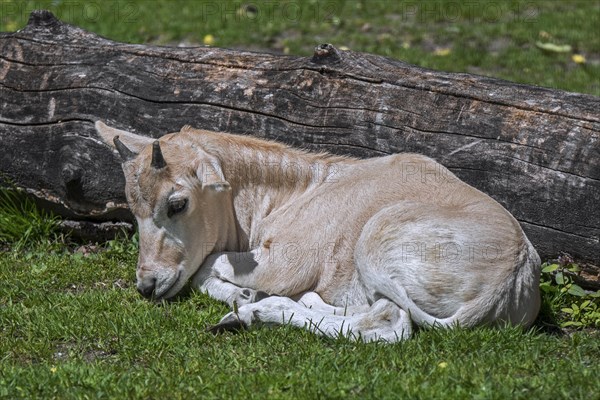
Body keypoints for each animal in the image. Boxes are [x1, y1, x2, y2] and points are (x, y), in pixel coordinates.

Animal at [96, 122, 540, 340]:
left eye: (177, 203)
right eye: (133, 206)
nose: (148, 284)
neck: (300, 189)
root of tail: (510, 276)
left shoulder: (281, 266)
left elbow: (208, 265)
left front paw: (244, 296)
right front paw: (243, 295)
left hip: (375, 242)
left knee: (390, 323)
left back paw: (250, 314)